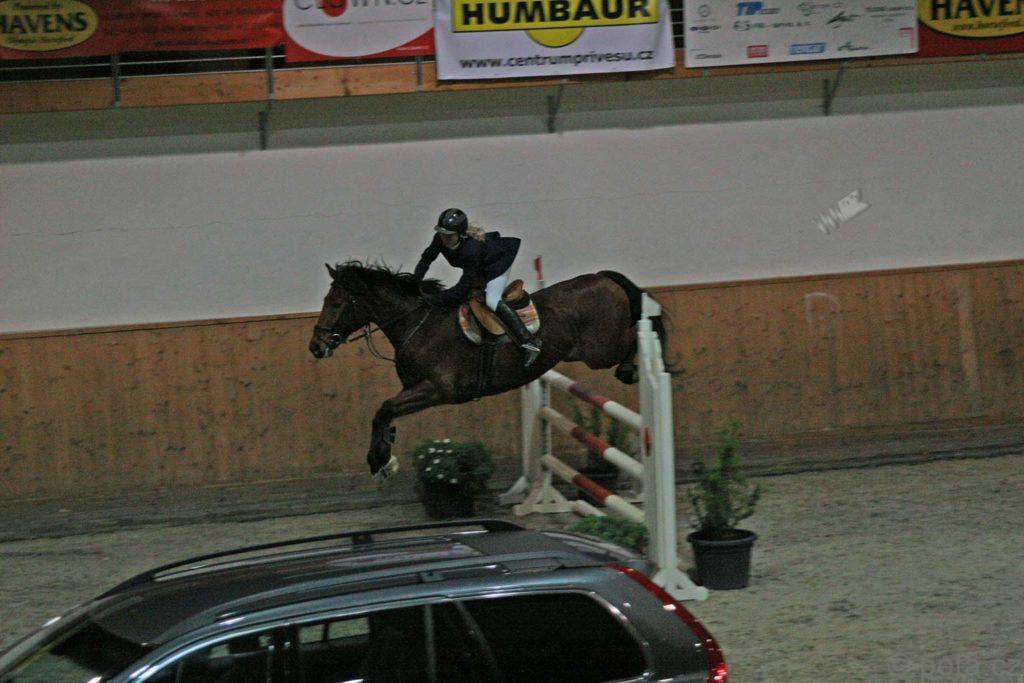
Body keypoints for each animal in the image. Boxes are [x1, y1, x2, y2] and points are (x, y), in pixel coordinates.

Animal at [308, 261, 667, 480]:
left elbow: (383, 409)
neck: (417, 324)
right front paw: (385, 457)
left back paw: (640, 367)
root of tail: (602, 276)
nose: (316, 346)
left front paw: (380, 460)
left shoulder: (437, 389)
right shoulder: (413, 388)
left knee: (639, 332)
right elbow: (383, 414)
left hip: (600, 351)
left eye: (336, 303)